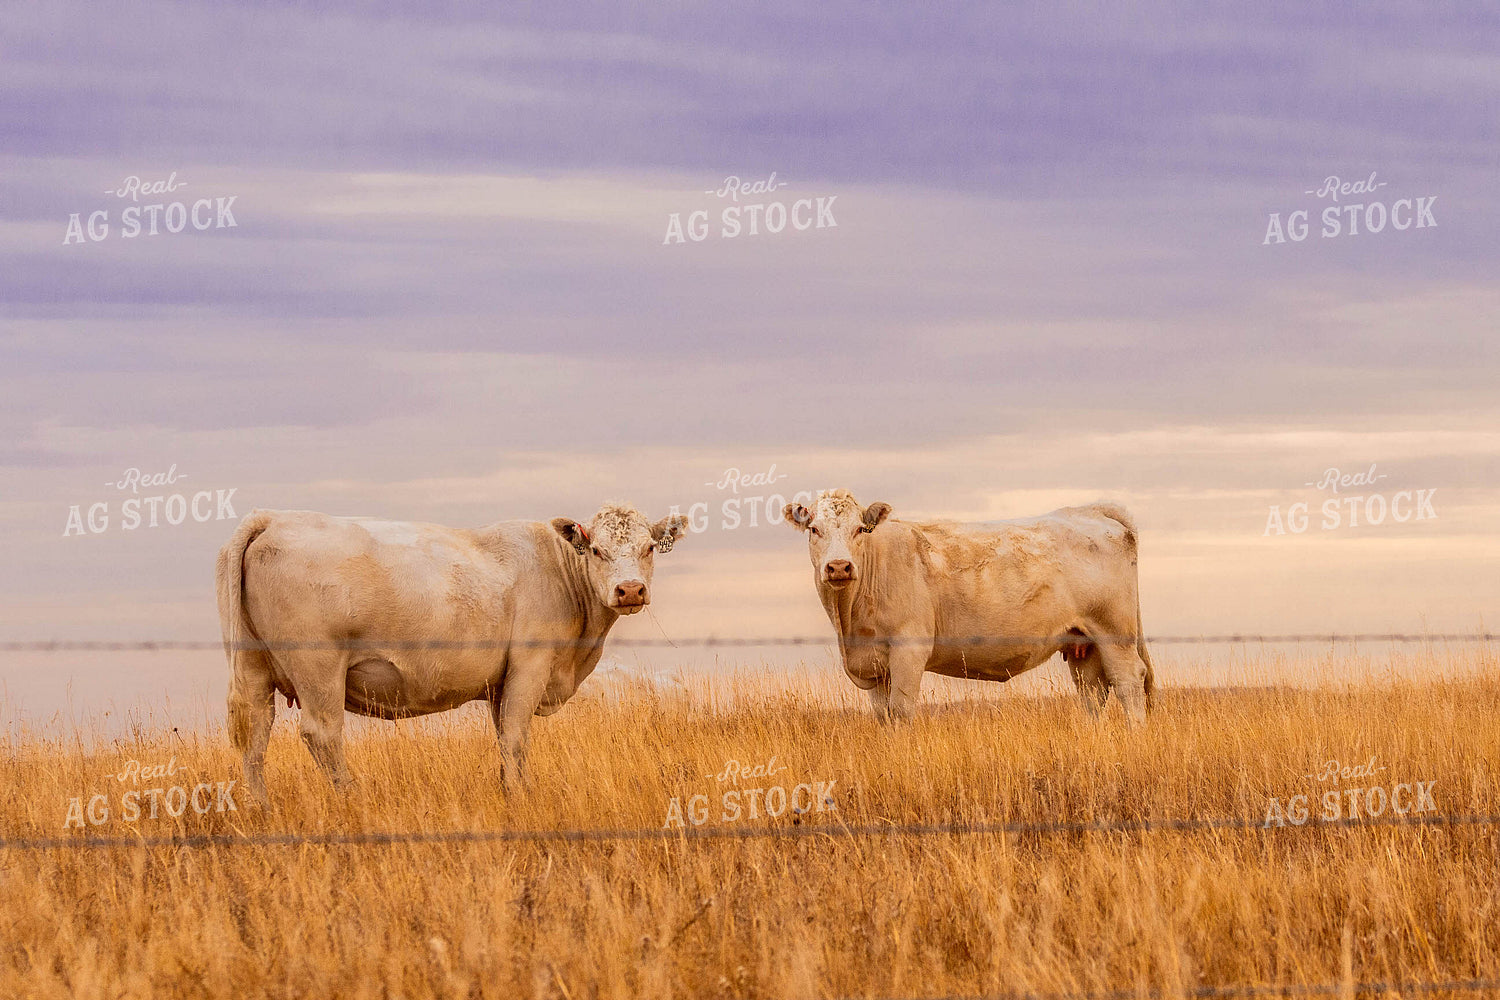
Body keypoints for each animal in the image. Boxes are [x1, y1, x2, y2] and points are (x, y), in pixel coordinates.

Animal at [216, 502, 689, 803]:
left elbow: (504, 737)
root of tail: (273, 518)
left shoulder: (500, 682)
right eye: (596, 549)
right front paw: (520, 798)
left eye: (649, 547)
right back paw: (351, 798)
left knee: (253, 737)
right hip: (319, 668)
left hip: (252, 666)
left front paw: (511, 790)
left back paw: (262, 807)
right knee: (322, 733)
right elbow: (516, 738)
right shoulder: (530, 665)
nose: (630, 589)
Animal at [782, 490, 1155, 723]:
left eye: (860, 529)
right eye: (814, 529)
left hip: (1114, 633)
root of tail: (1089, 511)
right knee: (1093, 692)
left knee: (1128, 682)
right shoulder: (873, 666)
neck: (850, 624)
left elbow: (901, 710)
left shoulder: (908, 650)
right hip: (1083, 641)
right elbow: (883, 715)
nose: (839, 567)